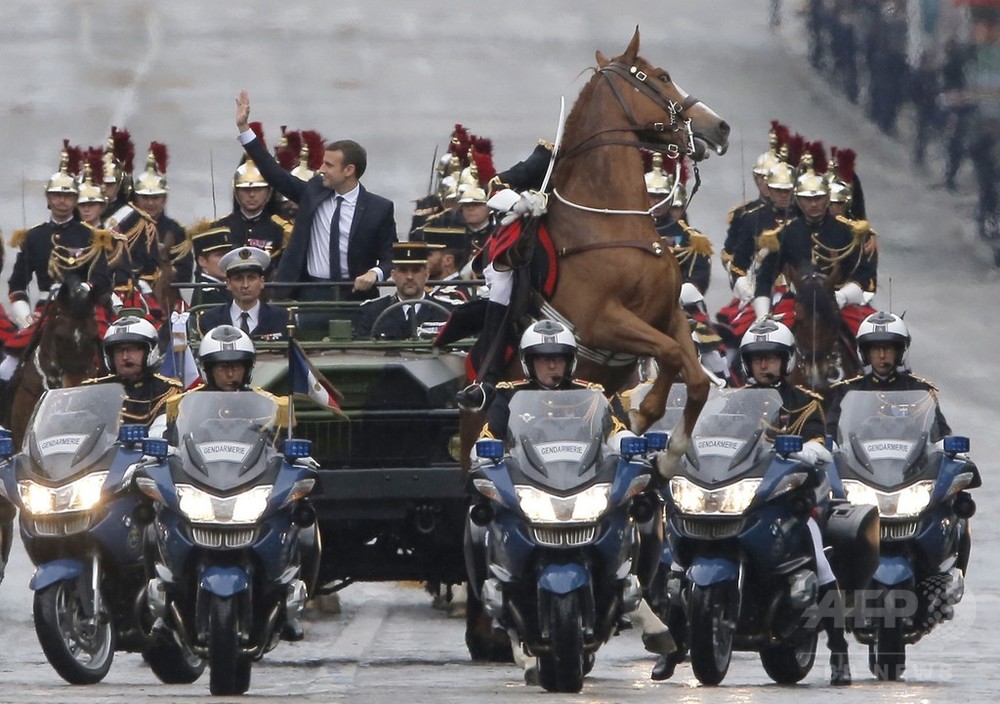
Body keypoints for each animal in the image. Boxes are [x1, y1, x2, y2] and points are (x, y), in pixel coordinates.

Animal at [540, 31, 728, 462]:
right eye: (663, 76)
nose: (721, 127)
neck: (609, 219)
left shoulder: (667, 314)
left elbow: (696, 379)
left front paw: (671, 452)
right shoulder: (602, 322)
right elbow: (671, 356)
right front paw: (640, 416)